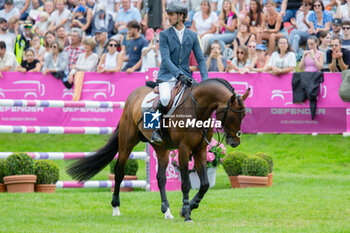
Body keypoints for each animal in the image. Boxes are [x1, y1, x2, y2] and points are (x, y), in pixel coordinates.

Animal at [67, 78, 249, 222]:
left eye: (244, 116)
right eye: (232, 116)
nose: (235, 142)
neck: (197, 109)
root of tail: (133, 96)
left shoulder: (200, 150)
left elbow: (204, 184)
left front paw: (189, 207)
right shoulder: (184, 149)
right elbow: (186, 184)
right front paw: (186, 213)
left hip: (161, 149)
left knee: (161, 178)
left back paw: (166, 211)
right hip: (127, 143)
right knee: (119, 172)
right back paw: (116, 208)